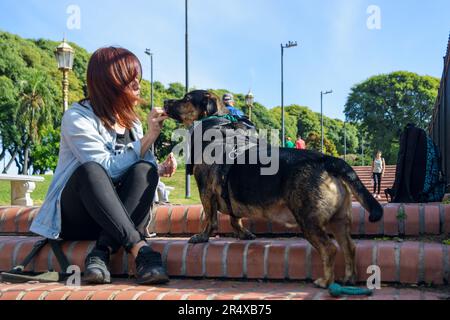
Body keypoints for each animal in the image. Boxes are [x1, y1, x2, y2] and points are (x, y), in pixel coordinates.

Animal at [165, 90, 384, 288]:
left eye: (186, 98)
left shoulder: (205, 191)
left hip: (308, 219)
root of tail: (326, 160)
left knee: (329, 248)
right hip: (338, 220)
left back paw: (325, 282)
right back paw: (349, 278)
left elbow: (210, 219)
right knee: (349, 247)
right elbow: (235, 218)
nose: (166, 101)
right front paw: (243, 233)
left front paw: (201, 237)